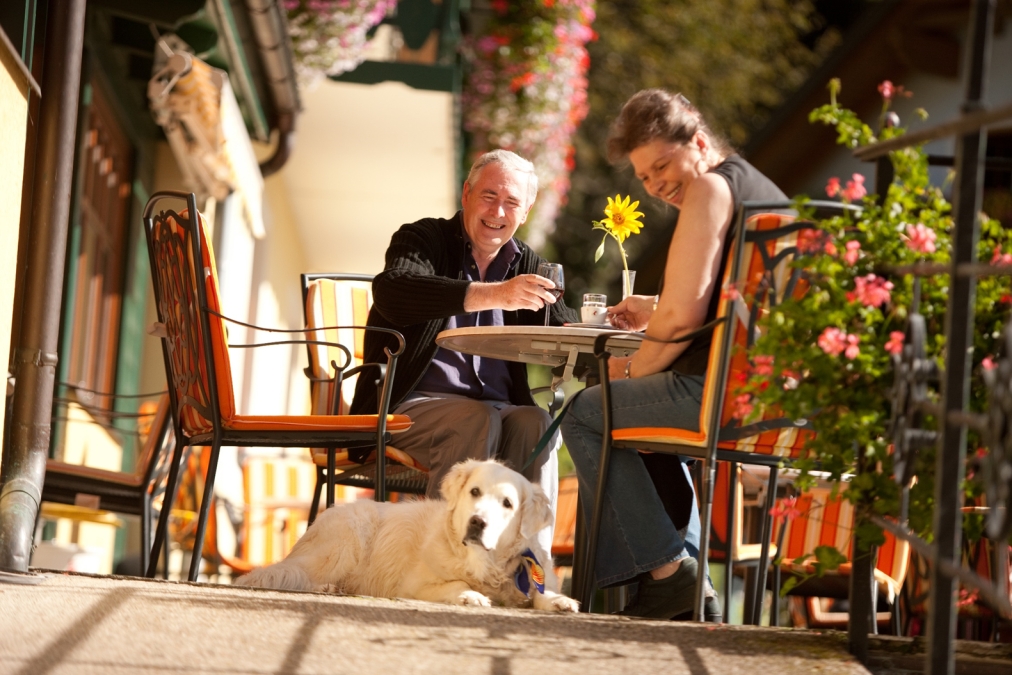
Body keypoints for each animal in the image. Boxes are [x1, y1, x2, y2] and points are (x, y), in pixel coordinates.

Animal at [234, 459, 578, 611]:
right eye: (475, 492)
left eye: (507, 503)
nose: (477, 522)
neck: (484, 563)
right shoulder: (413, 584)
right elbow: (454, 584)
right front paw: (470, 595)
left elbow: (541, 594)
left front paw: (561, 600)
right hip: (345, 542)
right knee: (295, 575)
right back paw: (325, 588)